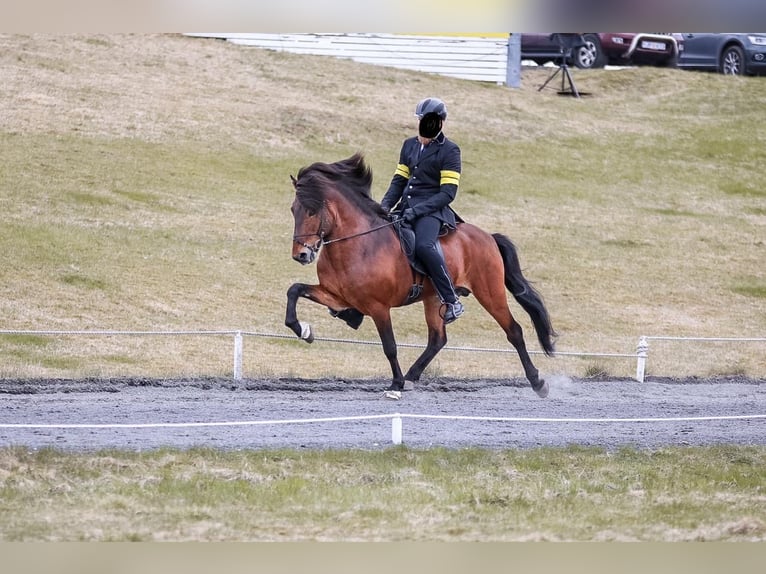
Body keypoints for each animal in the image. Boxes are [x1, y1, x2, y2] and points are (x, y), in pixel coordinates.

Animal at [285, 152, 556, 399]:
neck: (358, 244)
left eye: (311, 211)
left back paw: (538, 383)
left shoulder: (378, 307)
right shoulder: (337, 297)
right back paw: (411, 377)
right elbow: (295, 290)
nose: (301, 254)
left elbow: (390, 346)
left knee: (514, 331)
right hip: (435, 297)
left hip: (490, 292)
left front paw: (395, 385)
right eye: (293, 210)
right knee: (437, 339)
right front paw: (304, 331)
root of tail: (488, 236)